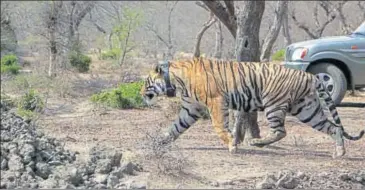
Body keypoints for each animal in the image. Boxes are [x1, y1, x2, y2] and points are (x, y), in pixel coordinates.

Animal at [139, 57, 362, 158]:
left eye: (145, 82)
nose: (140, 93)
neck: (176, 80)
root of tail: (310, 75)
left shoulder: (216, 102)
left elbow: (220, 127)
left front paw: (232, 145)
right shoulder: (191, 109)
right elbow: (175, 127)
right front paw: (159, 141)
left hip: (274, 104)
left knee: (281, 131)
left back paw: (255, 142)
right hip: (307, 110)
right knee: (333, 127)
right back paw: (339, 152)